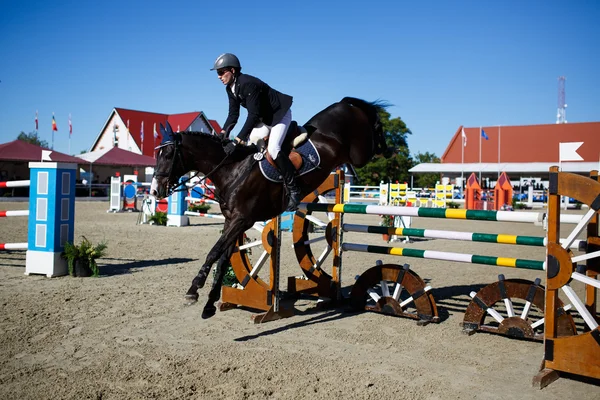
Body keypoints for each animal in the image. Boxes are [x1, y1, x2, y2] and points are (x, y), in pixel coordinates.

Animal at [148, 95, 386, 318]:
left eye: (167, 155)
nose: (155, 191)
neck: (232, 170)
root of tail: (342, 105)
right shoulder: (233, 221)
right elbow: (223, 258)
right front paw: (209, 304)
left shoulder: (242, 220)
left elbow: (214, 252)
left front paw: (193, 289)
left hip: (359, 153)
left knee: (373, 136)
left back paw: (384, 141)